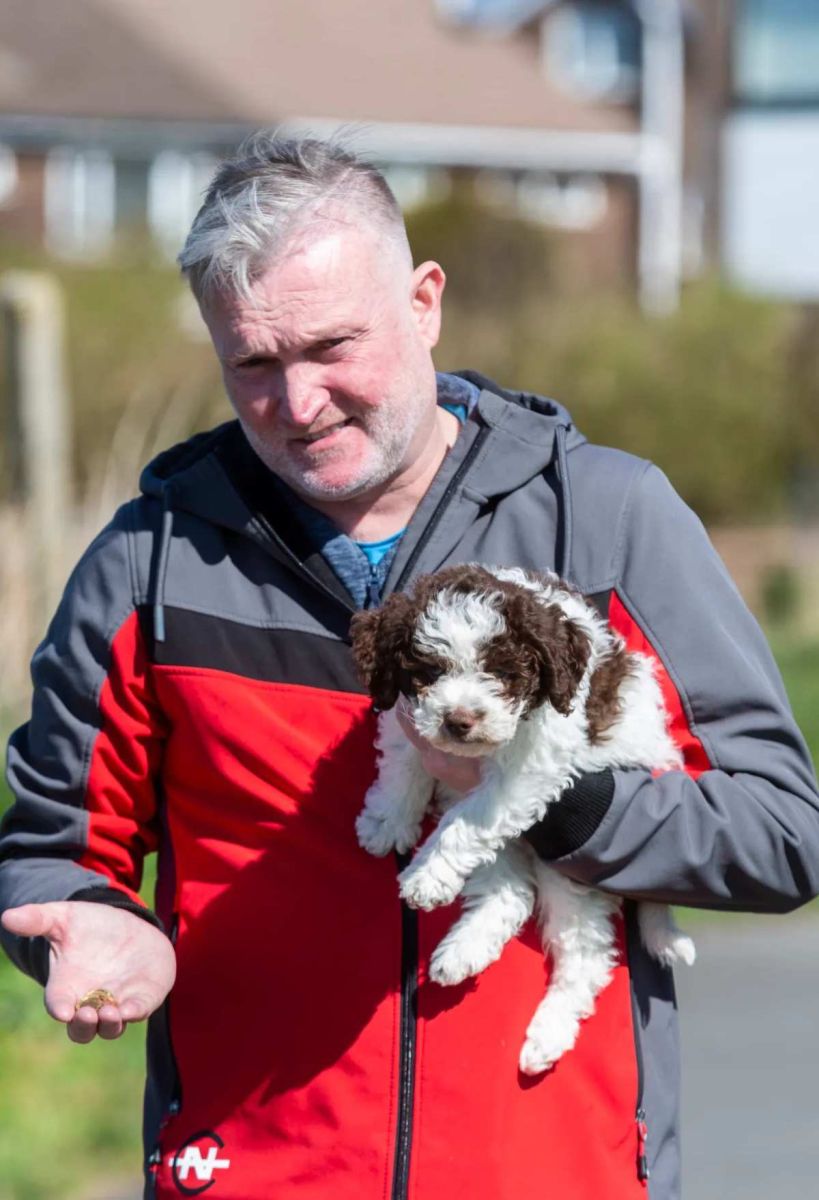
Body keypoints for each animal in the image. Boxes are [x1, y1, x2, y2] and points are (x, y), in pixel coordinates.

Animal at [348, 564, 691, 1080]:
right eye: (430, 671)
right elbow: (405, 760)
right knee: (511, 895)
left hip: (571, 873)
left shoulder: (527, 770)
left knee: (585, 955)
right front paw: (387, 820)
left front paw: (425, 876)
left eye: (502, 673)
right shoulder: (409, 719)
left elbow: (464, 823)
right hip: (510, 849)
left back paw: (547, 1035)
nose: (459, 721)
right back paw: (462, 952)